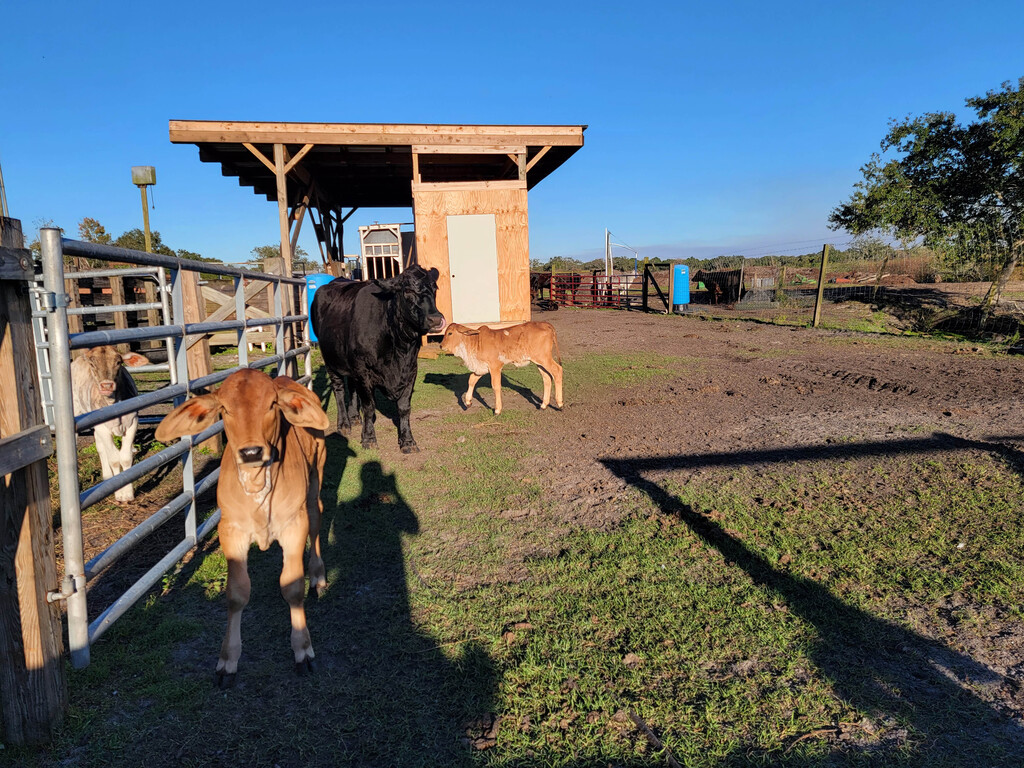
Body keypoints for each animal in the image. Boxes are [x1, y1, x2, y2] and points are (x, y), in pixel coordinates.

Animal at [155, 370, 327, 688]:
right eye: (225, 409)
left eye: (272, 404)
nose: (251, 452)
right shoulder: (231, 531)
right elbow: (236, 594)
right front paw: (227, 661)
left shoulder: (294, 525)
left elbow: (293, 586)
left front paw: (302, 649)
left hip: (315, 477)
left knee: (317, 518)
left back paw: (318, 577)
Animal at [307, 268, 444, 454]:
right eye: (408, 290)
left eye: (435, 289)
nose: (436, 319)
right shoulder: (363, 371)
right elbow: (369, 406)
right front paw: (369, 438)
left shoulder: (411, 370)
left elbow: (404, 407)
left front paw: (408, 441)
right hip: (330, 360)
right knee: (339, 390)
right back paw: (344, 424)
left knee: (352, 387)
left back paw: (354, 417)